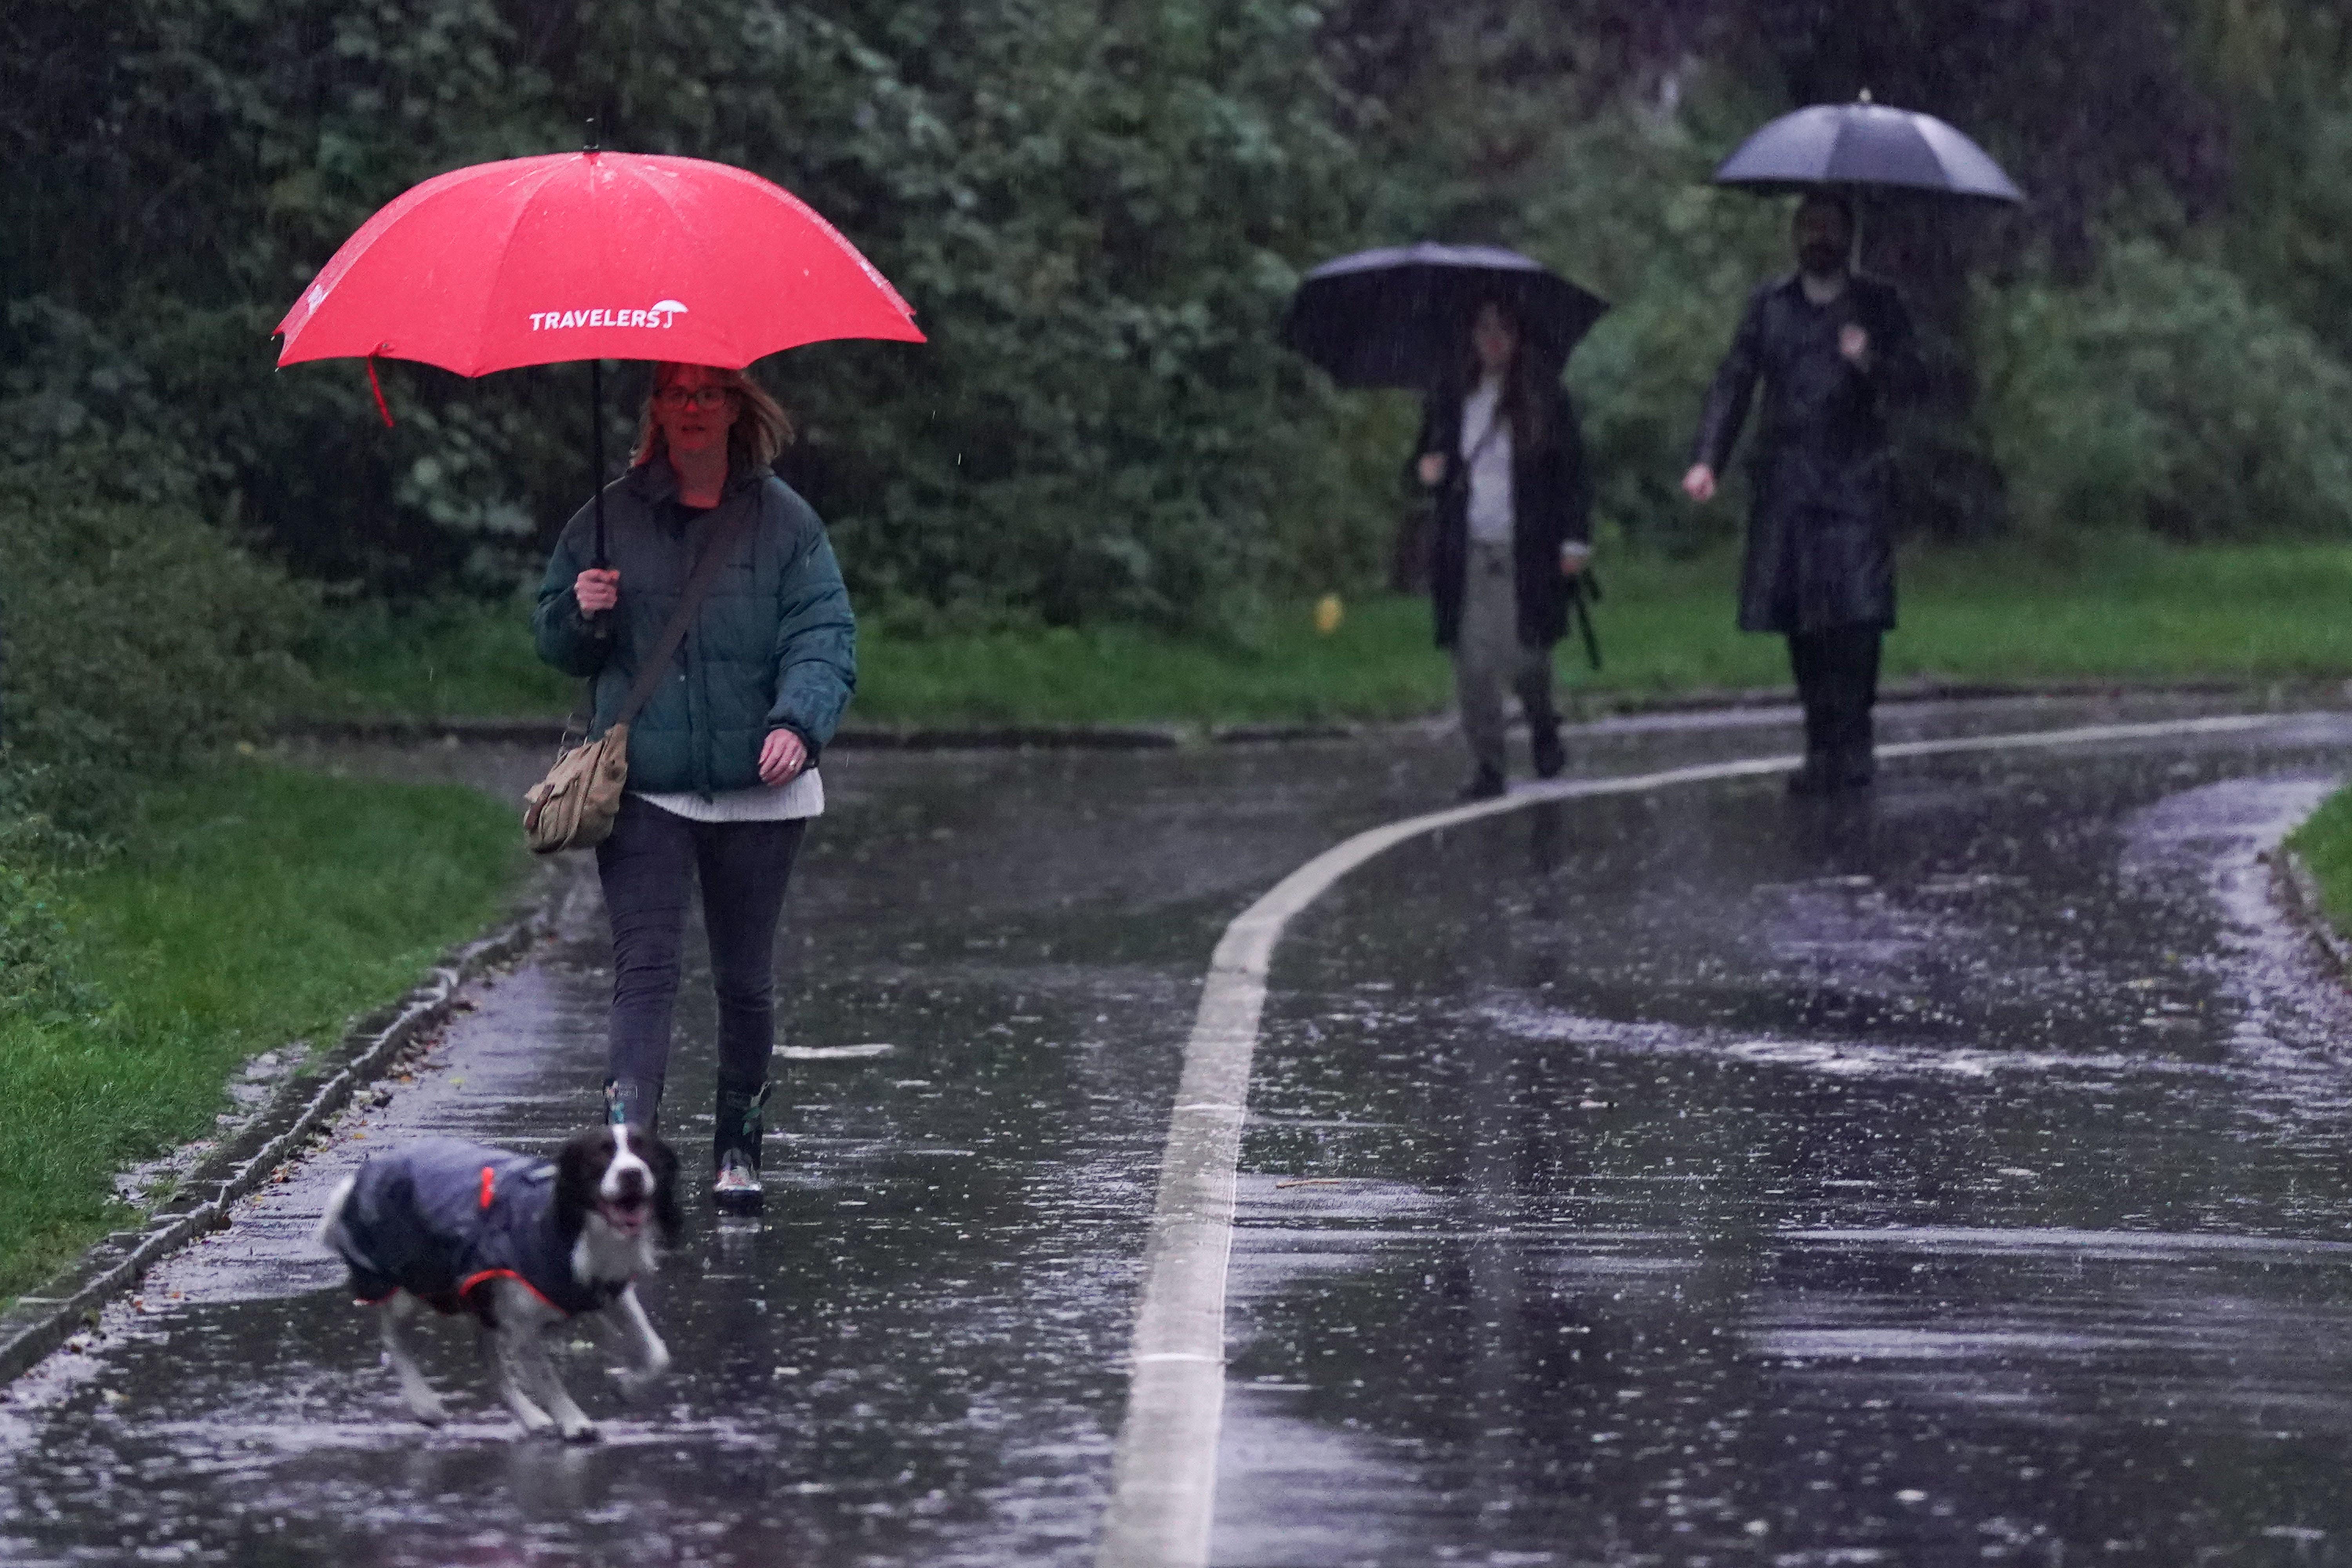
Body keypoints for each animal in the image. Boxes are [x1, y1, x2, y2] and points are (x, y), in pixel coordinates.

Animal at [318, 1123, 682, 1439]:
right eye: (601, 1155)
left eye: (643, 1150)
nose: (632, 1174)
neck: (579, 1230)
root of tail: (355, 1180)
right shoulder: (521, 1321)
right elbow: (547, 1377)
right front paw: (576, 1423)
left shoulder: (612, 1293)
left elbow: (658, 1353)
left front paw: (628, 1385)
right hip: (412, 1283)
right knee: (394, 1338)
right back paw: (425, 1403)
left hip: (479, 1297)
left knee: (488, 1360)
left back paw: (530, 1417)